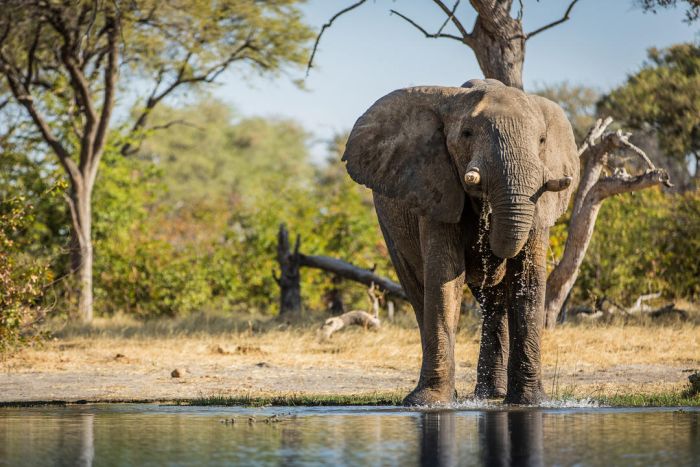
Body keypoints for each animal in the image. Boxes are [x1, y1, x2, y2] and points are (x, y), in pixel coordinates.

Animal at [341, 79, 579, 405]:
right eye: (467, 134)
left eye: (542, 140)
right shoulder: (435, 187)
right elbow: (445, 278)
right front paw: (429, 403)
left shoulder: (540, 202)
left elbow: (528, 280)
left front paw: (531, 402)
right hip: (389, 227)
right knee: (419, 290)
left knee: (494, 301)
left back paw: (492, 395)